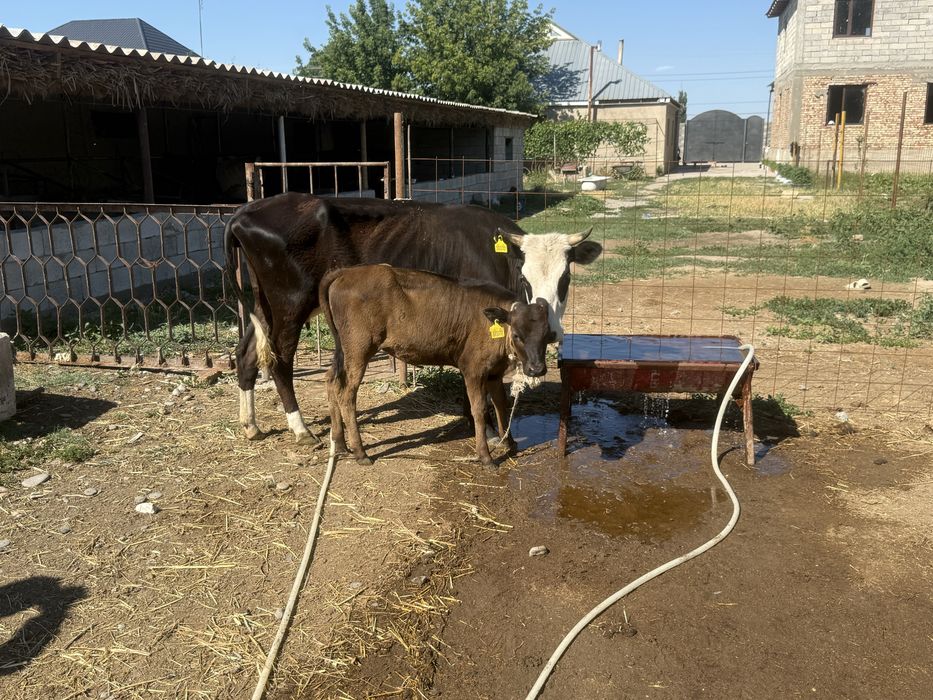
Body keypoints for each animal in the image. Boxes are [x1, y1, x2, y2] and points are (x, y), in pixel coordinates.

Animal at [224, 193, 601, 444]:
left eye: (565, 278)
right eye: (525, 278)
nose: (551, 331)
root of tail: (246, 210)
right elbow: (476, 385)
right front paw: (488, 431)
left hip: (263, 304)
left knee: (246, 353)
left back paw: (250, 425)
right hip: (289, 303)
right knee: (280, 359)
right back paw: (299, 427)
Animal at [320, 265, 553, 467]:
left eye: (547, 334)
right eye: (517, 334)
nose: (537, 369)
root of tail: (345, 272)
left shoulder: (494, 372)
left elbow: (501, 405)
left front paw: (510, 442)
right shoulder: (473, 370)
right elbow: (478, 409)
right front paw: (486, 456)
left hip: (342, 350)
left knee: (331, 380)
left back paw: (340, 444)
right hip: (359, 349)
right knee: (347, 394)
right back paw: (360, 452)